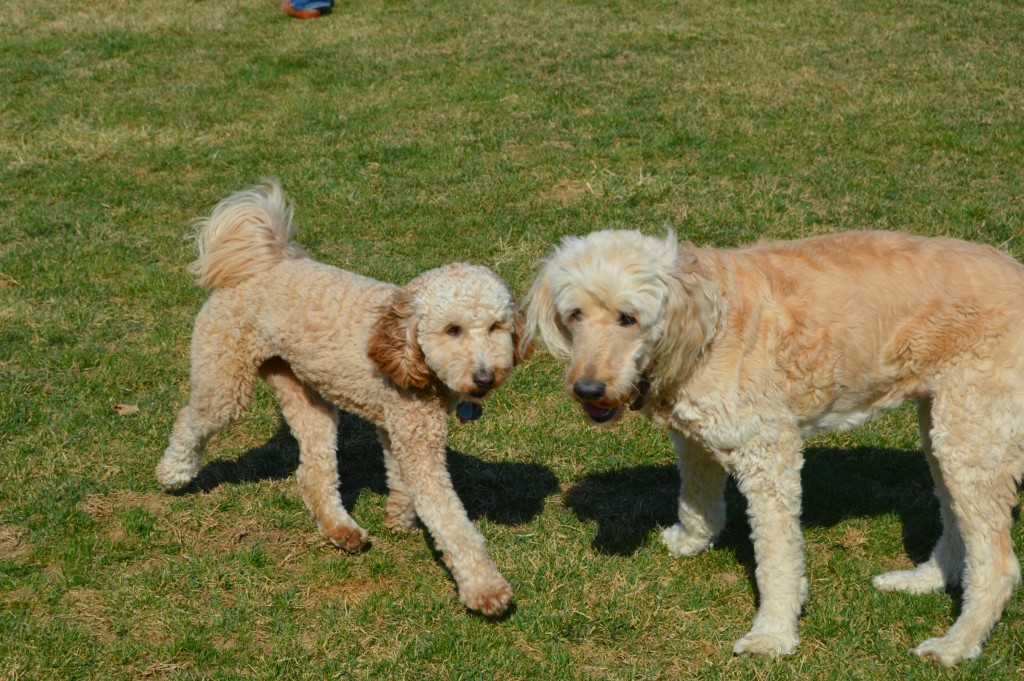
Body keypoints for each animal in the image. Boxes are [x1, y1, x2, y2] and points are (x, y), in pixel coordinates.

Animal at [157, 180, 536, 614]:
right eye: (452, 329)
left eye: (496, 327)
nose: (484, 377)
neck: (404, 345)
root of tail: (266, 261)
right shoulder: (416, 436)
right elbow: (449, 518)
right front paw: (484, 588)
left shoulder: (399, 426)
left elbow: (399, 476)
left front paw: (399, 518)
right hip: (224, 380)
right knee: (190, 419)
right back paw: (173, 474)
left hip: (308, 398)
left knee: (313, 471)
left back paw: (341, 529)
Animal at [528, 228, 1024, 663]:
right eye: (575, 315)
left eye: (628, 318)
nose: (587, 389)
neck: (707, 322)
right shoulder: (694, 436)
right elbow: (697, 497)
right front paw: (691, 541)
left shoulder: (768, 454)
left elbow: (777, 559)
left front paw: (772, 635)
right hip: (945, 428)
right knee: (958, 525)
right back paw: (922, 581)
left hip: (973, 432)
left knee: (998, 566)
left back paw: (956, 645)